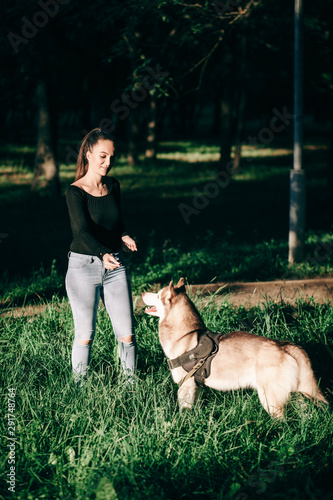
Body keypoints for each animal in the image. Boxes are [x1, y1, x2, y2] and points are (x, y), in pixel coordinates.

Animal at [141, 278, 326, 418]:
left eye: (157, 295)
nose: (142, 292)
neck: (186, 334)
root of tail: (284, 346)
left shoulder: (185, 385)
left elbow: (183, 411)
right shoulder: (196, 386)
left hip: (271, 400)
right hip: (298, 394)